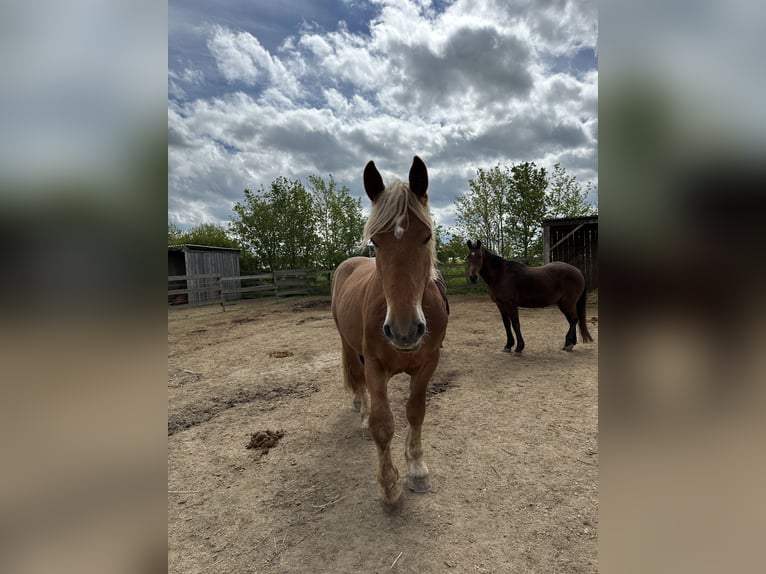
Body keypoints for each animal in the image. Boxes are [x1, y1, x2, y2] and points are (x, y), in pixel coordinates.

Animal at [332, 156, 450, 508]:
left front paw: (417, 469)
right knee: (359, 383)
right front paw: (389, 485)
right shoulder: (374, 364)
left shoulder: (428, 365)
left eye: (426, 236)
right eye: (376, 241)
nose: (404, 330)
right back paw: (360, 411)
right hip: (349, 347)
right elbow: (382, 424)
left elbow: (415, 412)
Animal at [462, 240, 592, 356]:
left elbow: (515, 324)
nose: (473, 277)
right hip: (563, 304)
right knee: (572, 320)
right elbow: (506, 324)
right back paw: (570, 344)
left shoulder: (511, 304)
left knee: (574, 319)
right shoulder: (501, 305)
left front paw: (519, 348)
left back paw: (568, 343)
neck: (501, 274)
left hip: (568, 303)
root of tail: (578, 271)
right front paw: (508, 345)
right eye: (468, 256)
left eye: (479, 256)